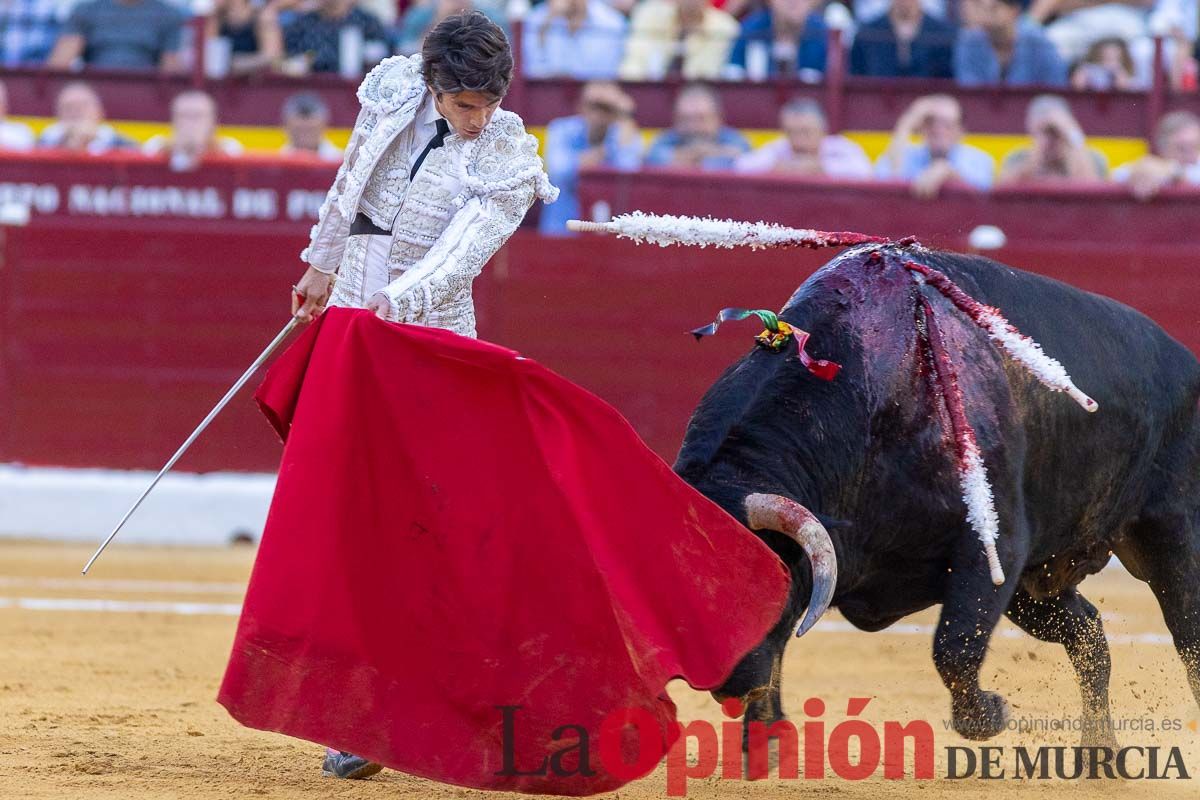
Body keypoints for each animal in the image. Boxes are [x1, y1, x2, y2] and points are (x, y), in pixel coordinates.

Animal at [676, 242, 1200, 753]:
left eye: (752, 586)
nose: (725, 685)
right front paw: (767, 742)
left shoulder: (993, 548)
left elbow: (953, 645)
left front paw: (990, 715)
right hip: (1035, 584)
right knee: (1088, 633)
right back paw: (1100, 755)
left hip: (1175, 537)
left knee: (1187, 635)